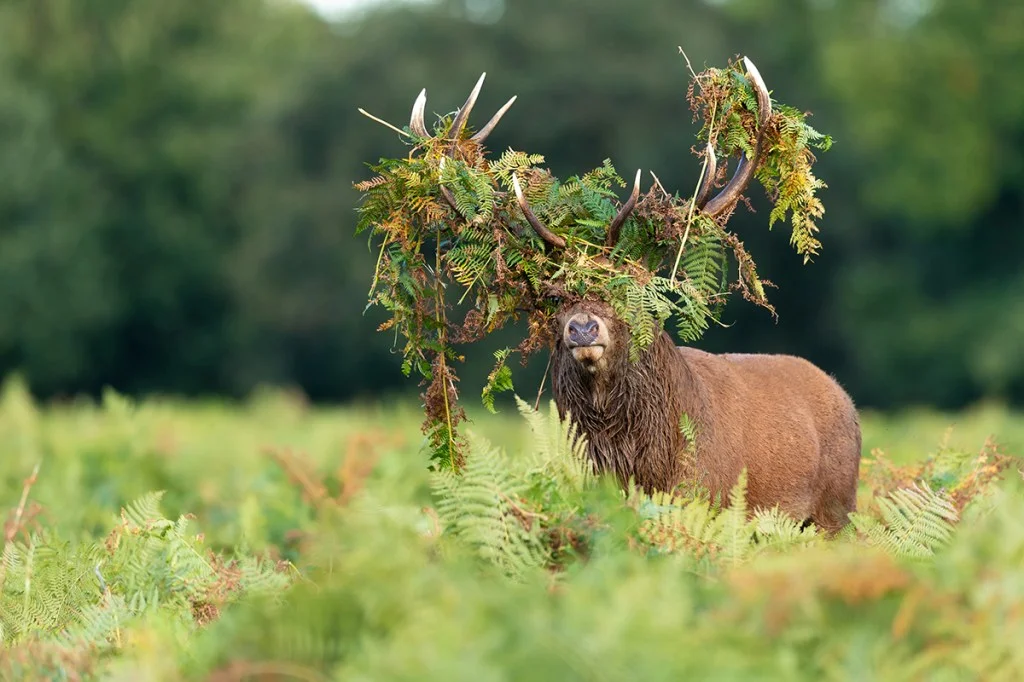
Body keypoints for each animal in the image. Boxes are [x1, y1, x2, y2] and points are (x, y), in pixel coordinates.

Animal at [406, 59, 862, 534]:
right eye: (554, 298)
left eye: (626, 291)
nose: (583, 328)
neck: (636, 467)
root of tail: (845, 399)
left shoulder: (706, 499)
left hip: (836, 510)